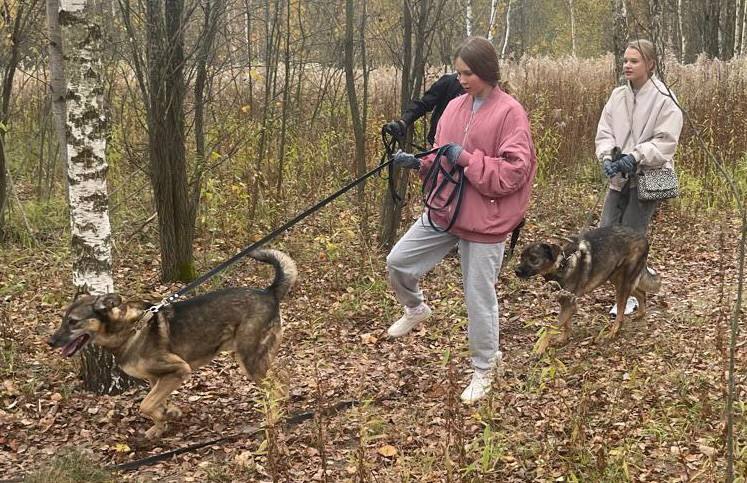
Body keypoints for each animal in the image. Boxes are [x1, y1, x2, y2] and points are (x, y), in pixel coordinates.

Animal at [46, 251, 298, 440]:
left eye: (73, 322)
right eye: (62, 319)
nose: (50, 341)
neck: (128, 329)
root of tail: (269, 292)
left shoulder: (179, 369)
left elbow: (145, 405)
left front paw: (166, 416)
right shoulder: (156, 378)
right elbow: (156, 402)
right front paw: (164, 420)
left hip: (249, 358)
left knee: (276, 385)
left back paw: (273, 417)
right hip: (255, 357)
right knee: (283, 377)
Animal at [516, 227, 660, 352]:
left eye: (533, 258)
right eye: (521, 257)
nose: (516, 271)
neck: (562, 263)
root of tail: (643, 237)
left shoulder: (569, 305)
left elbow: (551, 328)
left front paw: (540, 348)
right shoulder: (567, 304)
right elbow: (566, 325)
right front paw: (563, 339)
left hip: (622, 282)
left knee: (621, 314)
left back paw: (613, 332)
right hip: (615, 277)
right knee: (641, 293)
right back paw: (640, 314)